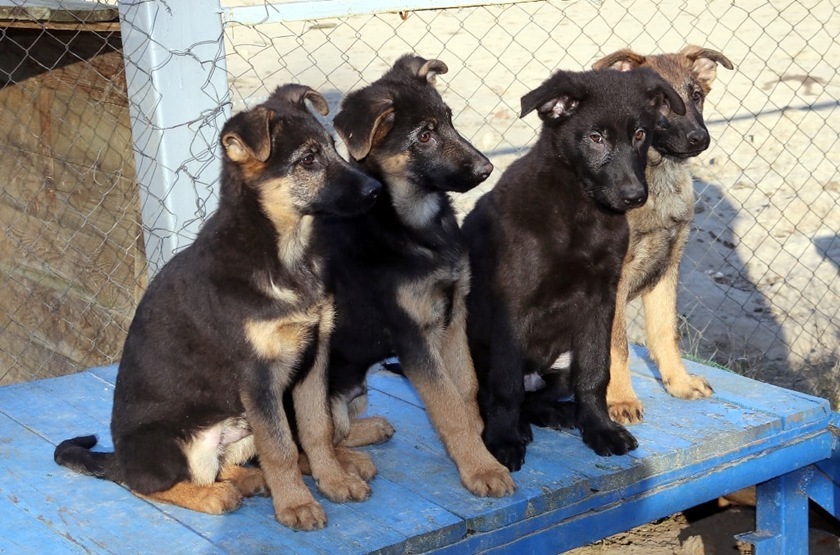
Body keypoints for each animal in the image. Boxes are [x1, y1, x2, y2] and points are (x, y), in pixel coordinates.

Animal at [53, 84, 380, 532]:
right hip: (181, 441)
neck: (285, 253)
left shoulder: (313, 359)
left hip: (241, 426)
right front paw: (296, 504)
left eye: (334, 147)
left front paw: (332, 480)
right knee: (143, 485)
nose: (376, 191)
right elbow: (280, 446)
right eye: (308, 161)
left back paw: (249, 480)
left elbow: (317, 428)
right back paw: (214, 495)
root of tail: (118, 457)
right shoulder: (258, 377)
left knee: (223, 465)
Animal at [324, 54, 520, 498]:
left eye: (449, 120)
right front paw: (481, 468)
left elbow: (466, 389)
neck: (416, 226)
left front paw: (480, 444)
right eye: (425, 136)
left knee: (338, 430)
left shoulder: (453, 314)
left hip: (356, 389)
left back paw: (369, 431)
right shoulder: (413, 336)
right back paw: (348, 467)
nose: (487, 168)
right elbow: (448, 406)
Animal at [462, 67, 684, 472]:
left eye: (640, 134)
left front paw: (599, 428)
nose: (635, 196)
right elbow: (504, 385)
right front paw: (503, 439)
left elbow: (596, 372)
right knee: (489, 395)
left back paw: (557, 413)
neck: (581, 211)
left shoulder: (601, 301)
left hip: (560, 364)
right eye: (596, 138)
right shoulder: (511, 305)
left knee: (543, 393)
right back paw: (518, 426)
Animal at [592, 44, 736, 426]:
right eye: (657, 102)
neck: (656, 176)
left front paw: (679, 383)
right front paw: (620, 399)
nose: (699, 138)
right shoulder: (613, 280)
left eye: (696, 95)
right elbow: (618, 347)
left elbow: (665, 331)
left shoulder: (668, 266)